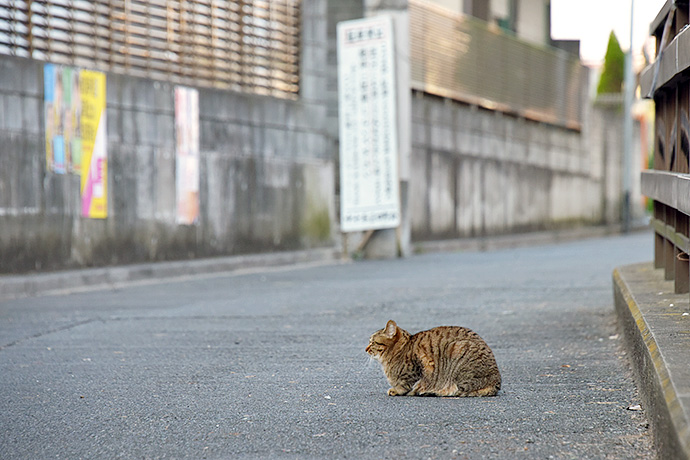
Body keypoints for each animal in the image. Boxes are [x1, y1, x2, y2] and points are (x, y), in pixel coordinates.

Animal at [366, 320, 500, 396]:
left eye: (372, 342)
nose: (366, 349)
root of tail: (497, 383)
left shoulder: (419, 367)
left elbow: (406, 384)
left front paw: (396, 390)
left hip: (458, 351)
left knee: (460, 390)